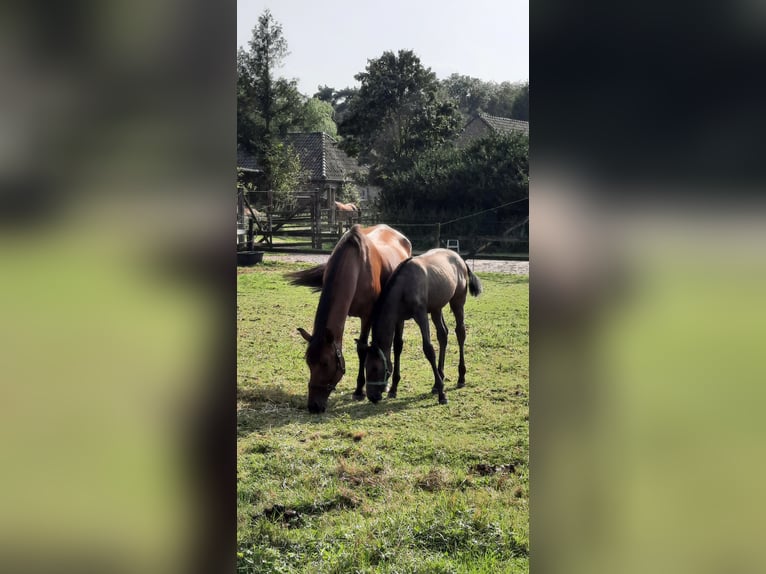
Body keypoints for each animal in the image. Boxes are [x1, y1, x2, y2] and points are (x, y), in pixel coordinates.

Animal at [286, 224, 412, 414]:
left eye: (325, 363)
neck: (356, 267)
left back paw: (393, 386)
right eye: (308, 362)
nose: (314, 406)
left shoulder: (367, 316)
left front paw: (359, 390)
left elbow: (362, 348)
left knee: (397, 346)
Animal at [364, 250, 484, 408]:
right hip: (436, 308)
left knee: (460, 333)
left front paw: (442, 394)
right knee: (443, 334)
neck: (404, 286)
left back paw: (460, 377)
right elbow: (397, 346)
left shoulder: (421, 315)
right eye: (365, 367)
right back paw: (438, 379)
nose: (372, 396)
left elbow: (428, 349)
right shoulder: (399, 318)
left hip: (457, 303)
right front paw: (394, 388)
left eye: (374, 368)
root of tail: (460, 259)